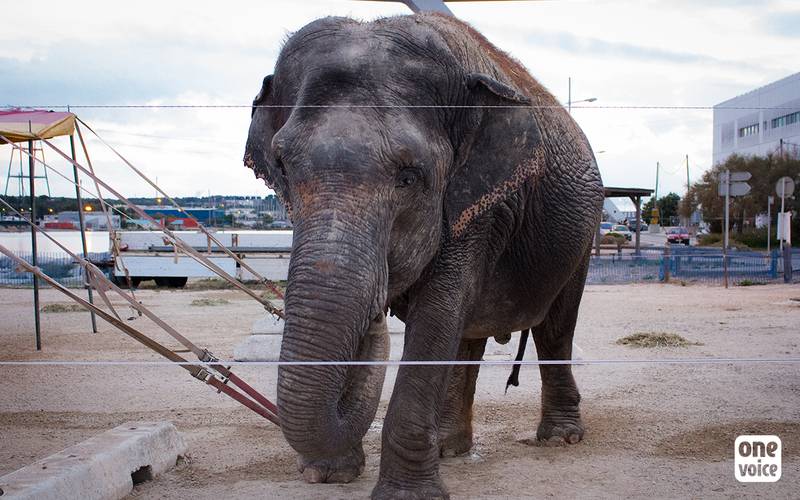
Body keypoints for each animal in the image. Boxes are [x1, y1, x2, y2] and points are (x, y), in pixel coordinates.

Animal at [244, 12, 604, 499]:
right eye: (282, 167)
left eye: (410, 176)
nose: (375, 320)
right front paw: (327, 475)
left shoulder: (482, 206)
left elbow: (437, 315)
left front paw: (407, 495)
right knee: (469, 338)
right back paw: (451, 448)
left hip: (583, 235)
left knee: (555, 328)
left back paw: (561, 438)